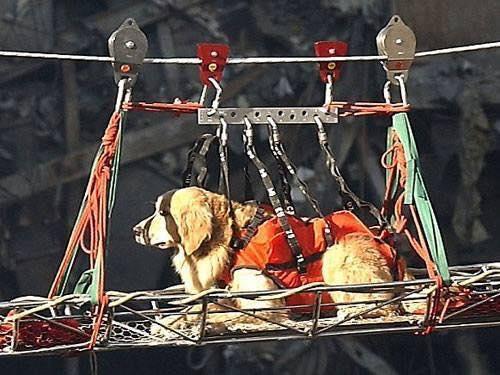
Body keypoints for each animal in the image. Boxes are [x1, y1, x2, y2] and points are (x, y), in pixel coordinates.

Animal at [134, 187, 410, 332]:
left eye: (163, 213)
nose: (135, 230)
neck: (232, 239)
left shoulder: (267, 306)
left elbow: (236, 316)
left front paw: (209, 324)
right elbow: (196, 309)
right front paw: (170, 320)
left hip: (336, 254)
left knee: (381, 307)